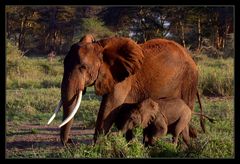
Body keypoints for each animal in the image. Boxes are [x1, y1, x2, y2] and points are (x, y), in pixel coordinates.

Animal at [48, 35, 199, 145]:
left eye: (83, 67)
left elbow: (109, 108)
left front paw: (97, 148)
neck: (101, 48)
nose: (70, 142)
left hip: (189, 81)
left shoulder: (123, 80)